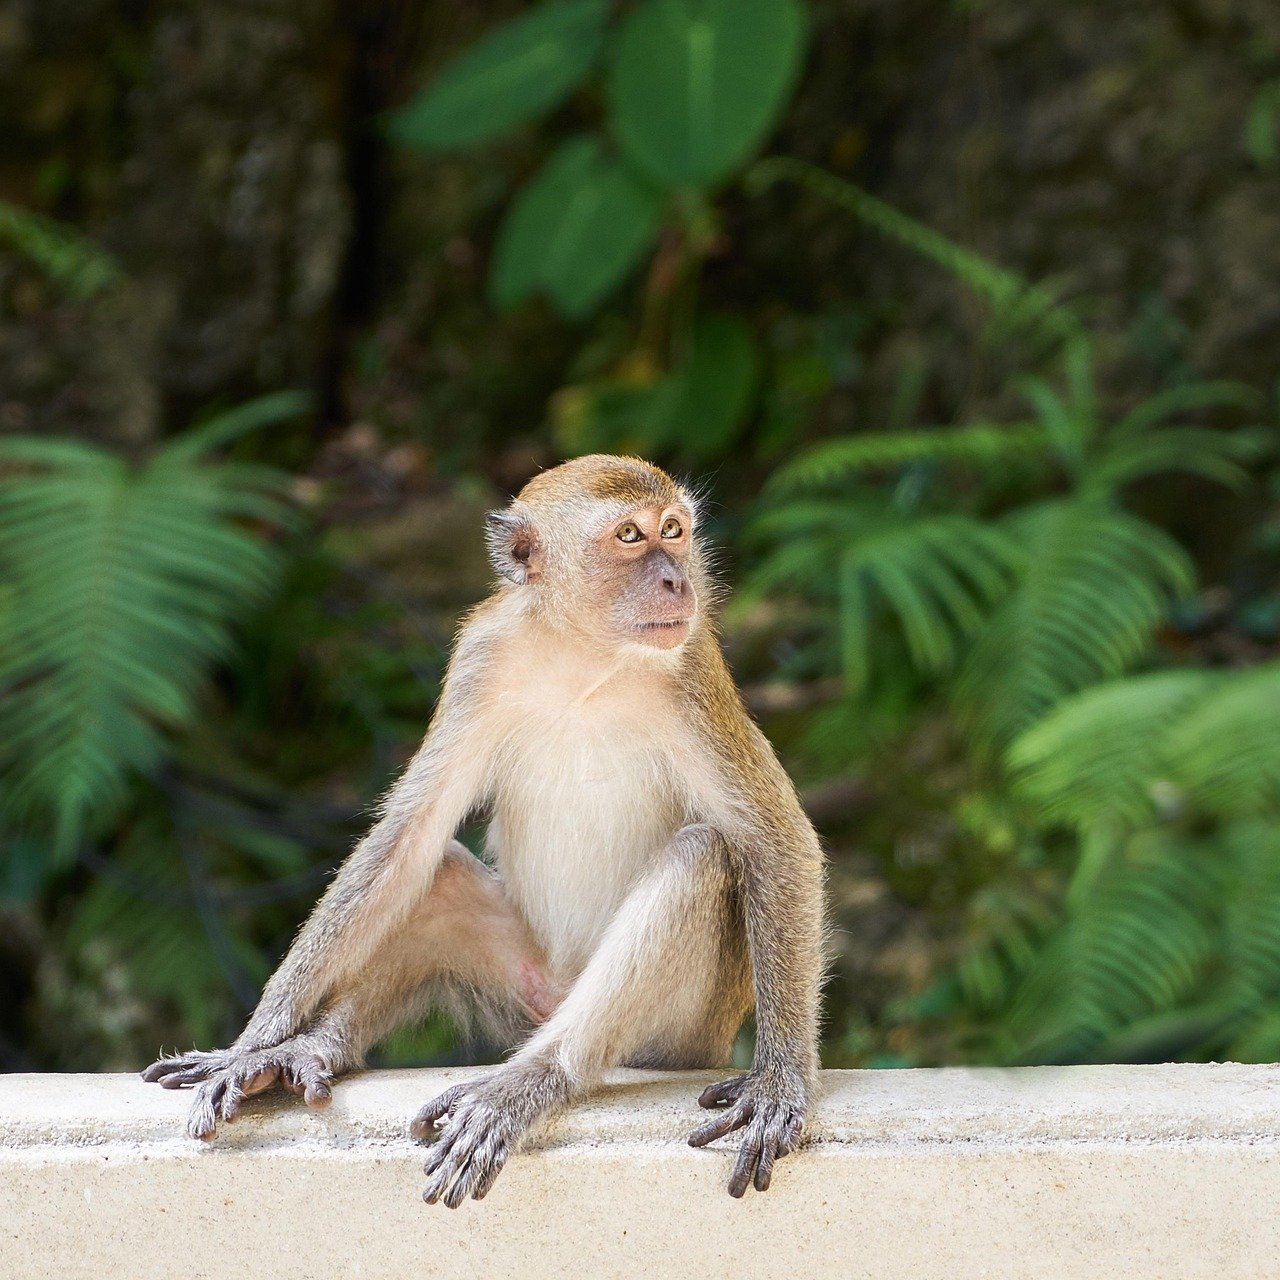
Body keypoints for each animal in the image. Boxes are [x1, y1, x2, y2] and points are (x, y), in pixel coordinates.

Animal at [143, 454, 825, 1205]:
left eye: (673, 531)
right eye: (629, 536)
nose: (678, 578)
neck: (584, 656)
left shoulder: (693, 668)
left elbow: (773, 839)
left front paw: (780, 1081)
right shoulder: (482, 656)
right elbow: (409, 834)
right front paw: (251, 1045)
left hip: (680, 1032)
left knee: (701, 857)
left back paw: (529, 1082)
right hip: (525, 985)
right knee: (434, 877)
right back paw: (308, 1051)